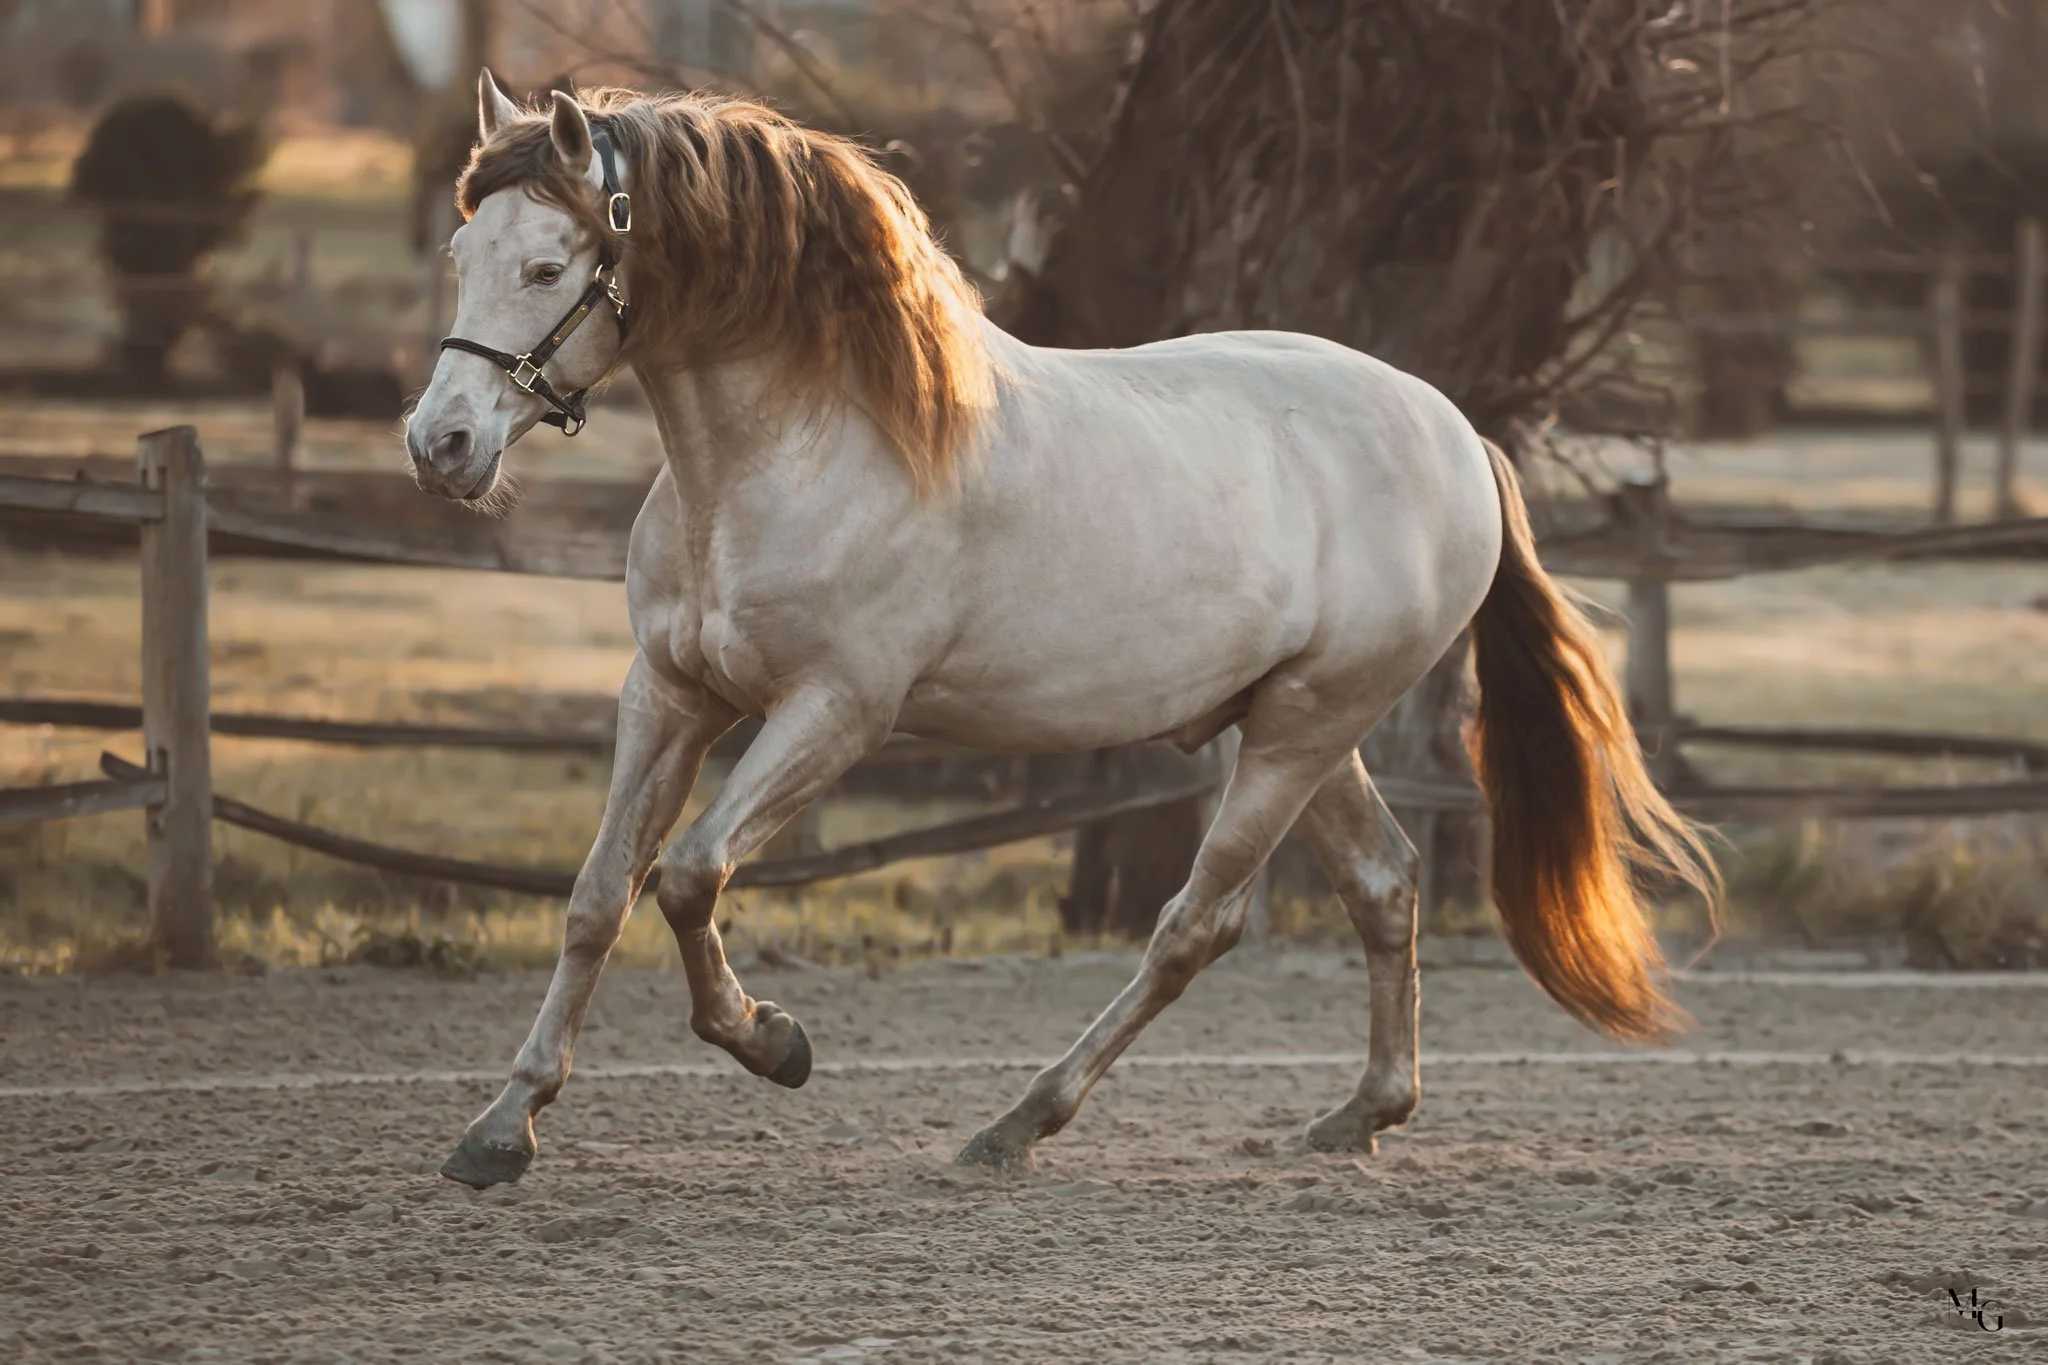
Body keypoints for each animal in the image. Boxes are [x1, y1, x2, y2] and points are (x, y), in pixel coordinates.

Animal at [406, 72, 1715, 1189]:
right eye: (461, 253)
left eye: (546, 264)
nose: (441, 445)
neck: (793, 452)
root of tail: (1452, 433)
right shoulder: (668, 694)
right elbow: (597, 896)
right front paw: (500, 1130)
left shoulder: (835, 713)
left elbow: (686, 875)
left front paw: (773, 1041)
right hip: (1289, 727)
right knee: (1384, 885)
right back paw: (1358, 1116)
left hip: (1298, 731)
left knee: (1197, 925)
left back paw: (1017, 1122)